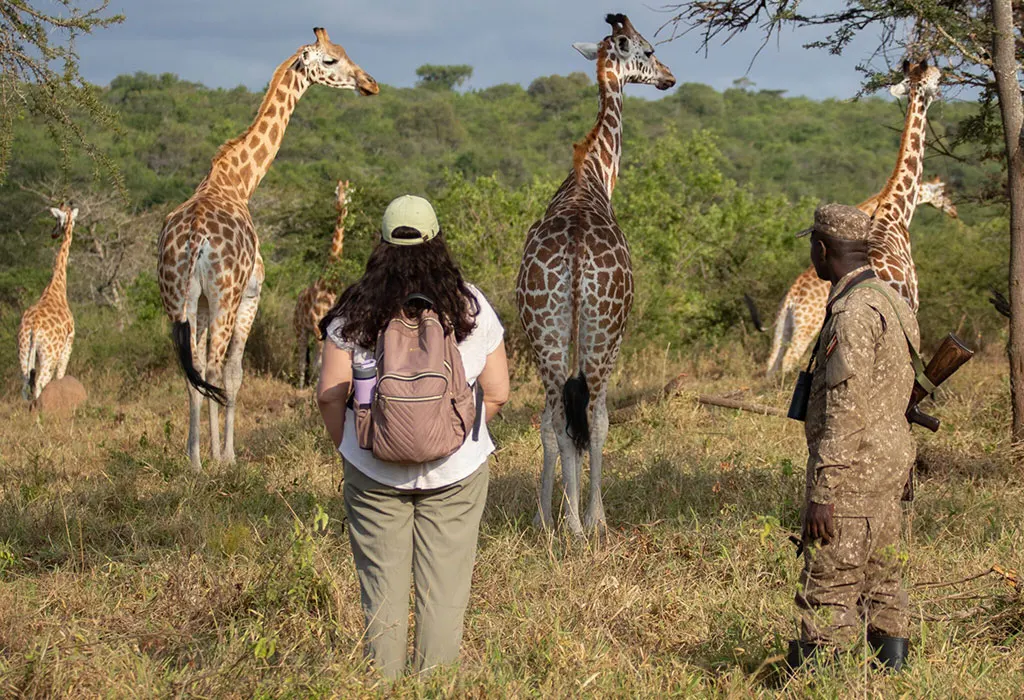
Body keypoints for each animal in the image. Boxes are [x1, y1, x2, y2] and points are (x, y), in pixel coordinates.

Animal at [17, 204, 78, 401]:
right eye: (57, 220)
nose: (53, 233)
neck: (56, 287)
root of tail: (34, 327)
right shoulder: (68, 343)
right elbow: (60, 377)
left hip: (23, 349)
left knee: (25, 384)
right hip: (50, 354)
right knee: (40, 383)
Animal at [293, 179, 351, 388]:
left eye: (349, 193)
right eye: (335, 192)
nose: (339, 204)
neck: (328, 285)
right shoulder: (318, 325)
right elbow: (319, 362)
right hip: (299, 329)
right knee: (301, 357)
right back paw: (301, 384)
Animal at [516, 14, 675, 535]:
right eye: (648, 50)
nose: (669, 77)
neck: (592, 174)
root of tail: (575, 255)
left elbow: (551, 425)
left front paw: (543, 515)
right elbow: (600, 423)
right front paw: (593, 516)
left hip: (543, 329)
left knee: (555, 417)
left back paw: (563, 523)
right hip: (604, 331)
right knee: (593, 415)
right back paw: (586, 524)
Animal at [765, 175, 956, 376]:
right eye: (944, 192)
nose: (954, 211)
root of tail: (791, 297)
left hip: (784, 324)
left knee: (772, 361)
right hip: (806, 328)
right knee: (788, 360)